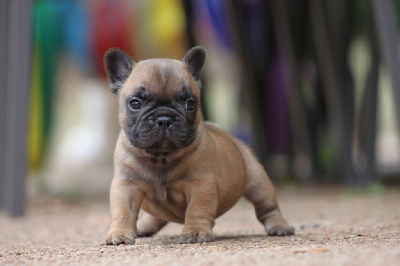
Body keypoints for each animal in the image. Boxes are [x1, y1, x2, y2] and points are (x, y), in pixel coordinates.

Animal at [101, 46, 292, 245]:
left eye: (190, 103)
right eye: (135, 103)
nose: (164, 118)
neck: (161, 157)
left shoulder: (201, 185)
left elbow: (197, 209)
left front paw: (196, 232)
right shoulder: (126, 186)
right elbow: (123, 212)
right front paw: (120, 234)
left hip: (258, 182)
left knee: (267, 207)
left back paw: (279, 226)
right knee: (157, 215)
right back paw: (144, 227)